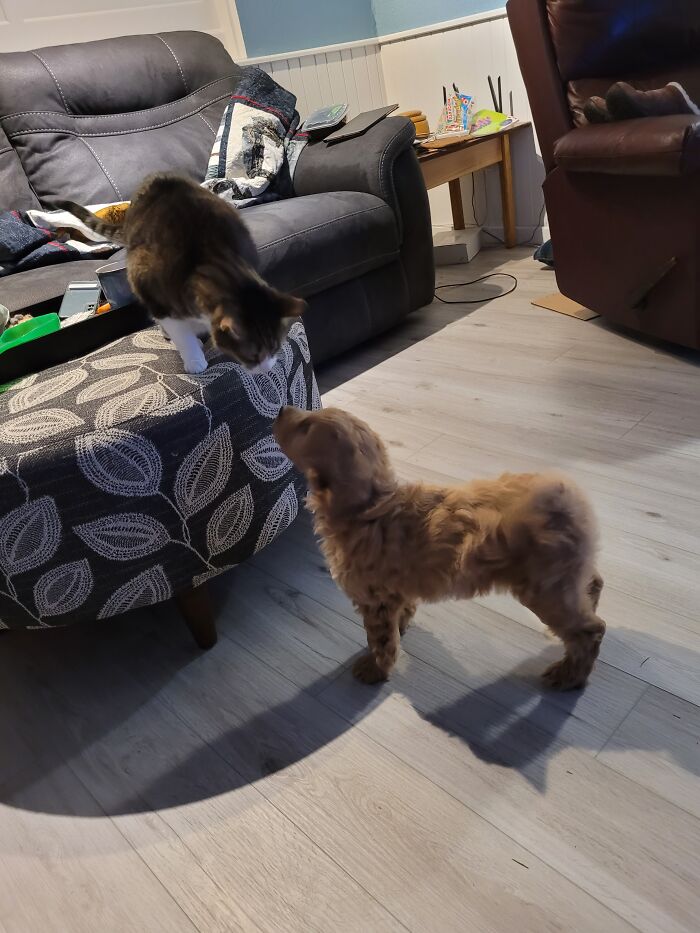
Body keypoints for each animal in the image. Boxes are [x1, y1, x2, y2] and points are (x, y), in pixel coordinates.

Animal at [57, 175, 304, 372]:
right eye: (253, 355)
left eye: (275, 348)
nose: (268, 368)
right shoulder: (155, 295)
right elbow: (182, 334)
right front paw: (194, 360)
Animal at [274, 404, 608, 688]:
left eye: (304, 427)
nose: (280, 410)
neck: (371, 505)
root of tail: (571, 499)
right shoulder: (395, 590)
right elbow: (401, 616)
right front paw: (402, 627)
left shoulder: (374, 599)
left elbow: (380, 640)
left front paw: (374, 668)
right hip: (568, 572)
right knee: (593, 584)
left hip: (546, 587)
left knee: (590, 630)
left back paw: (570, 675)